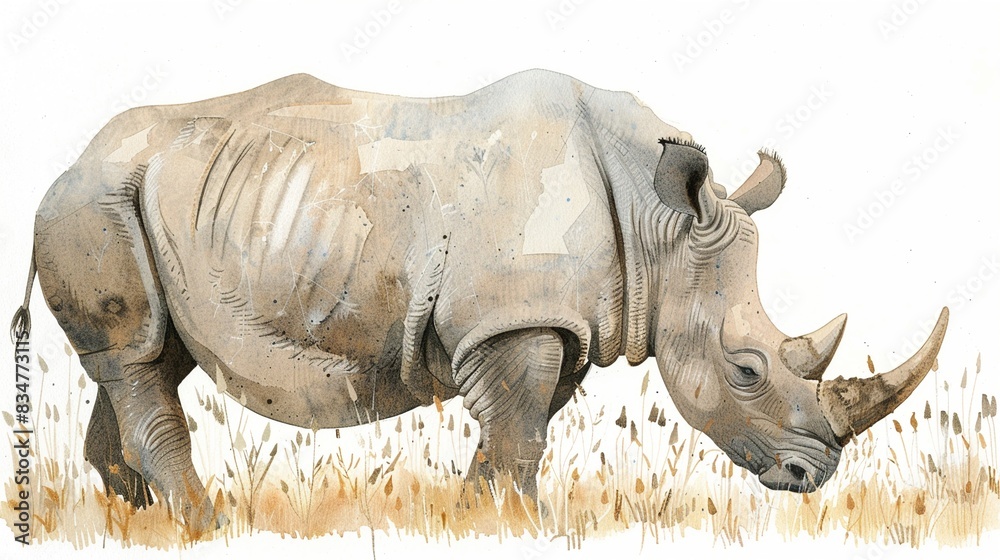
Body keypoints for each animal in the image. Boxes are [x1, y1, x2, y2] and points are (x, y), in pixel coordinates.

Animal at [11, 70, 947, 531]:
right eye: (748, 369)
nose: (810, 476)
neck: (657, 227)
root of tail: (64, 165)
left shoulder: (553, 322)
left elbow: (515, 433)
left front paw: (474, 517)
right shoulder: (513, 320)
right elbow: (523, 435)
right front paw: (531, 530)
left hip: (134, 200)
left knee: (141, 360)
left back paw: (137, 519)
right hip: (93, 201)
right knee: (137, 358)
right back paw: (205, 526)